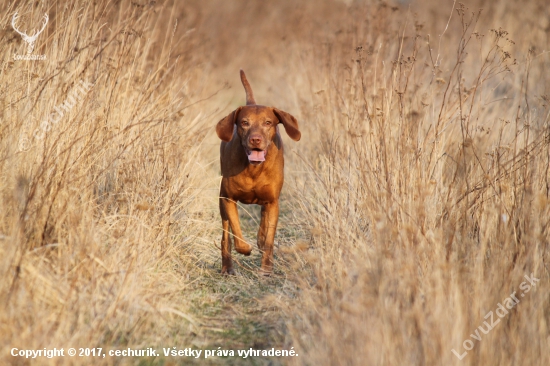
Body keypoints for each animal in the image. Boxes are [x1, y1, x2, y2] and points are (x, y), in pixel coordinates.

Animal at [217, 70, 302, 274]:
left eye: (268, 122)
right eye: (244, 123)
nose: (255, 139)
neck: (253, 169)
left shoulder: (273, 201)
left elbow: (269, 238)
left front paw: (266, 269)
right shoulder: (228, 198)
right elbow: (236, 233)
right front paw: (245, 249)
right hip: (222, 202)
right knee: (225, 236)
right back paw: (227, 267)